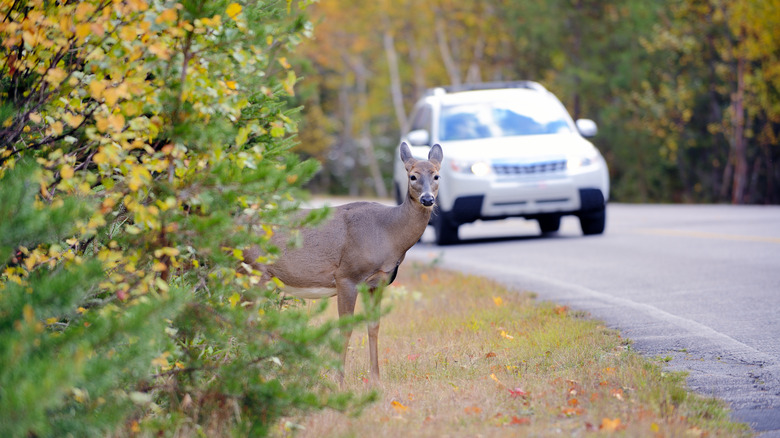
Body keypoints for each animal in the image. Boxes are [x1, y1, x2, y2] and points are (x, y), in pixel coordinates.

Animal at [244, 143, 442, 384]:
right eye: (413, 176)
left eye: (436, 175)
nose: (427, 199)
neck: (388, 232)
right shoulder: (347, 275)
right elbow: (345, 329)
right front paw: (339, 380)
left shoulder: (378, 282)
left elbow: (374, 326)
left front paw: (376, 379)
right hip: (254, 271)